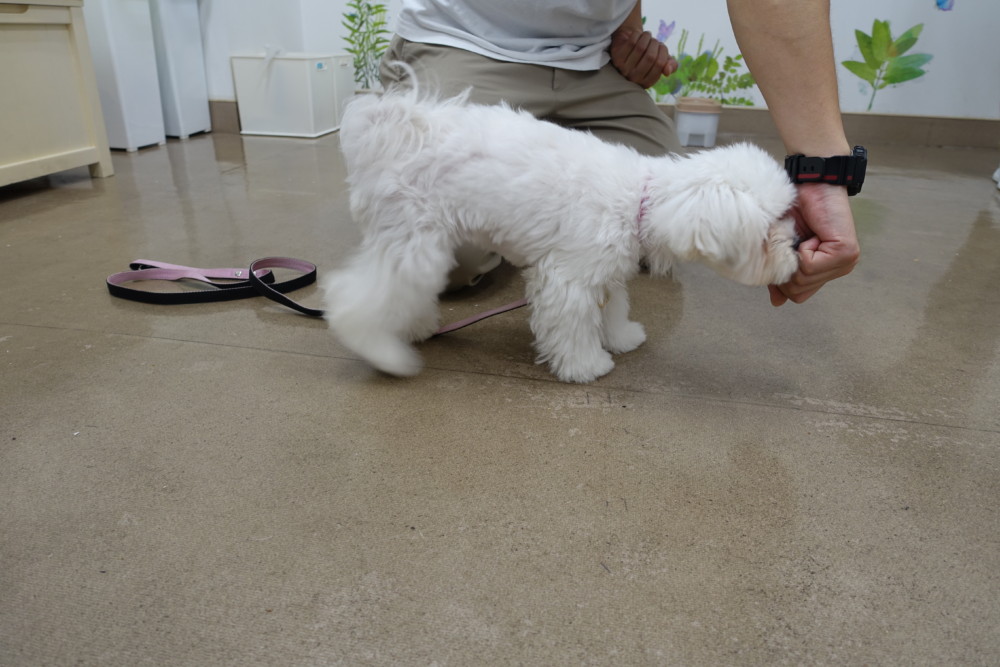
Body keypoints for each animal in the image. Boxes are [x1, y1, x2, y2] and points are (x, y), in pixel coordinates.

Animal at [322, 75, 799, 383]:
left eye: (788, 214)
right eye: (770, 230)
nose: (797, 243)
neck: (640, 201)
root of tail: (396, 131)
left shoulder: (604, 273)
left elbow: (612, 309)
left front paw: (621, 337)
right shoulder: (568, 277)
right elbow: (572, 327)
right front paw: (587, 366)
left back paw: (413, 328)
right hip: (413, 239)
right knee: (353, 299)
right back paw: (385, 353)